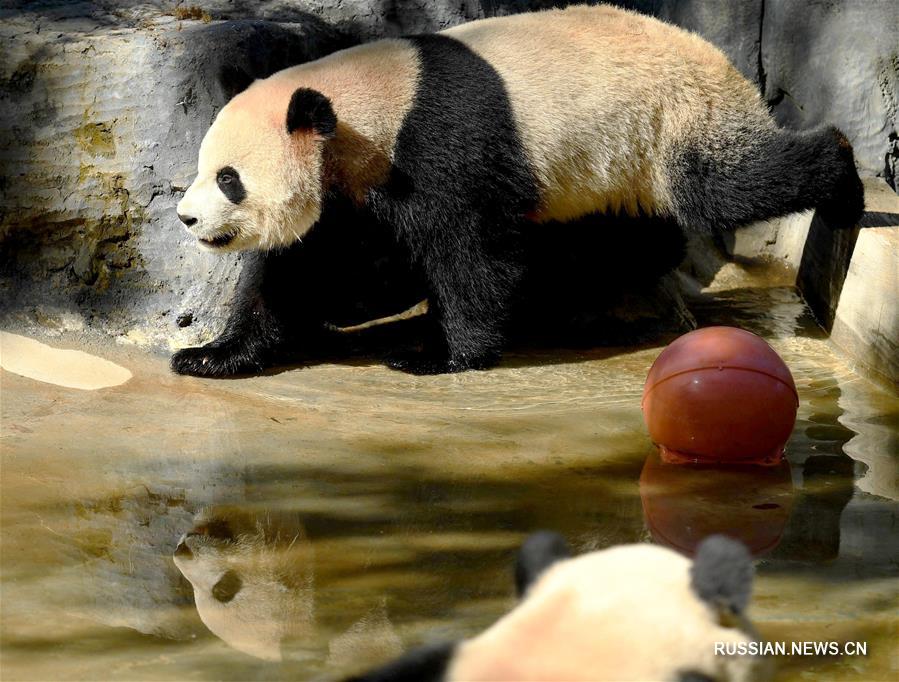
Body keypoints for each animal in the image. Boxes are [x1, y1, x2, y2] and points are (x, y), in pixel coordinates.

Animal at [172, 2, 868, 374]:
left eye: (229, 180)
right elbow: (312, 263)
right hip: (615, 165)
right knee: (623, 231)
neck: (364, 107)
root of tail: (719, 55)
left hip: (675, 115)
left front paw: (441, 355)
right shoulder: (352, 184)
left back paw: (843, 179)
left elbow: (470, 251)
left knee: (729, 183)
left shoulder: (439, 141)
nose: (186, 219)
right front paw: (209, 355)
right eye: (204, 168)